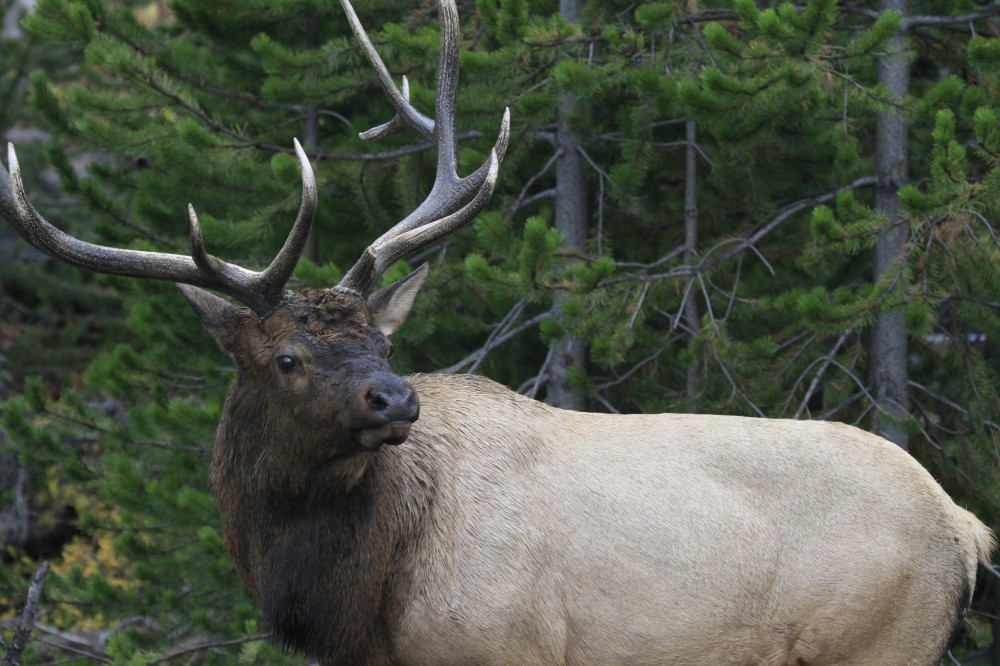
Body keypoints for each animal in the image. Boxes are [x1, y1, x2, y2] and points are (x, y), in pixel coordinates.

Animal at [3, 1, 996, 664]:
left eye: (384, 343)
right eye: (286, 356)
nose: (395, 398)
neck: (360, 602)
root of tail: (963, 526)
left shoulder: (502, 646)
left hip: (879, 641)